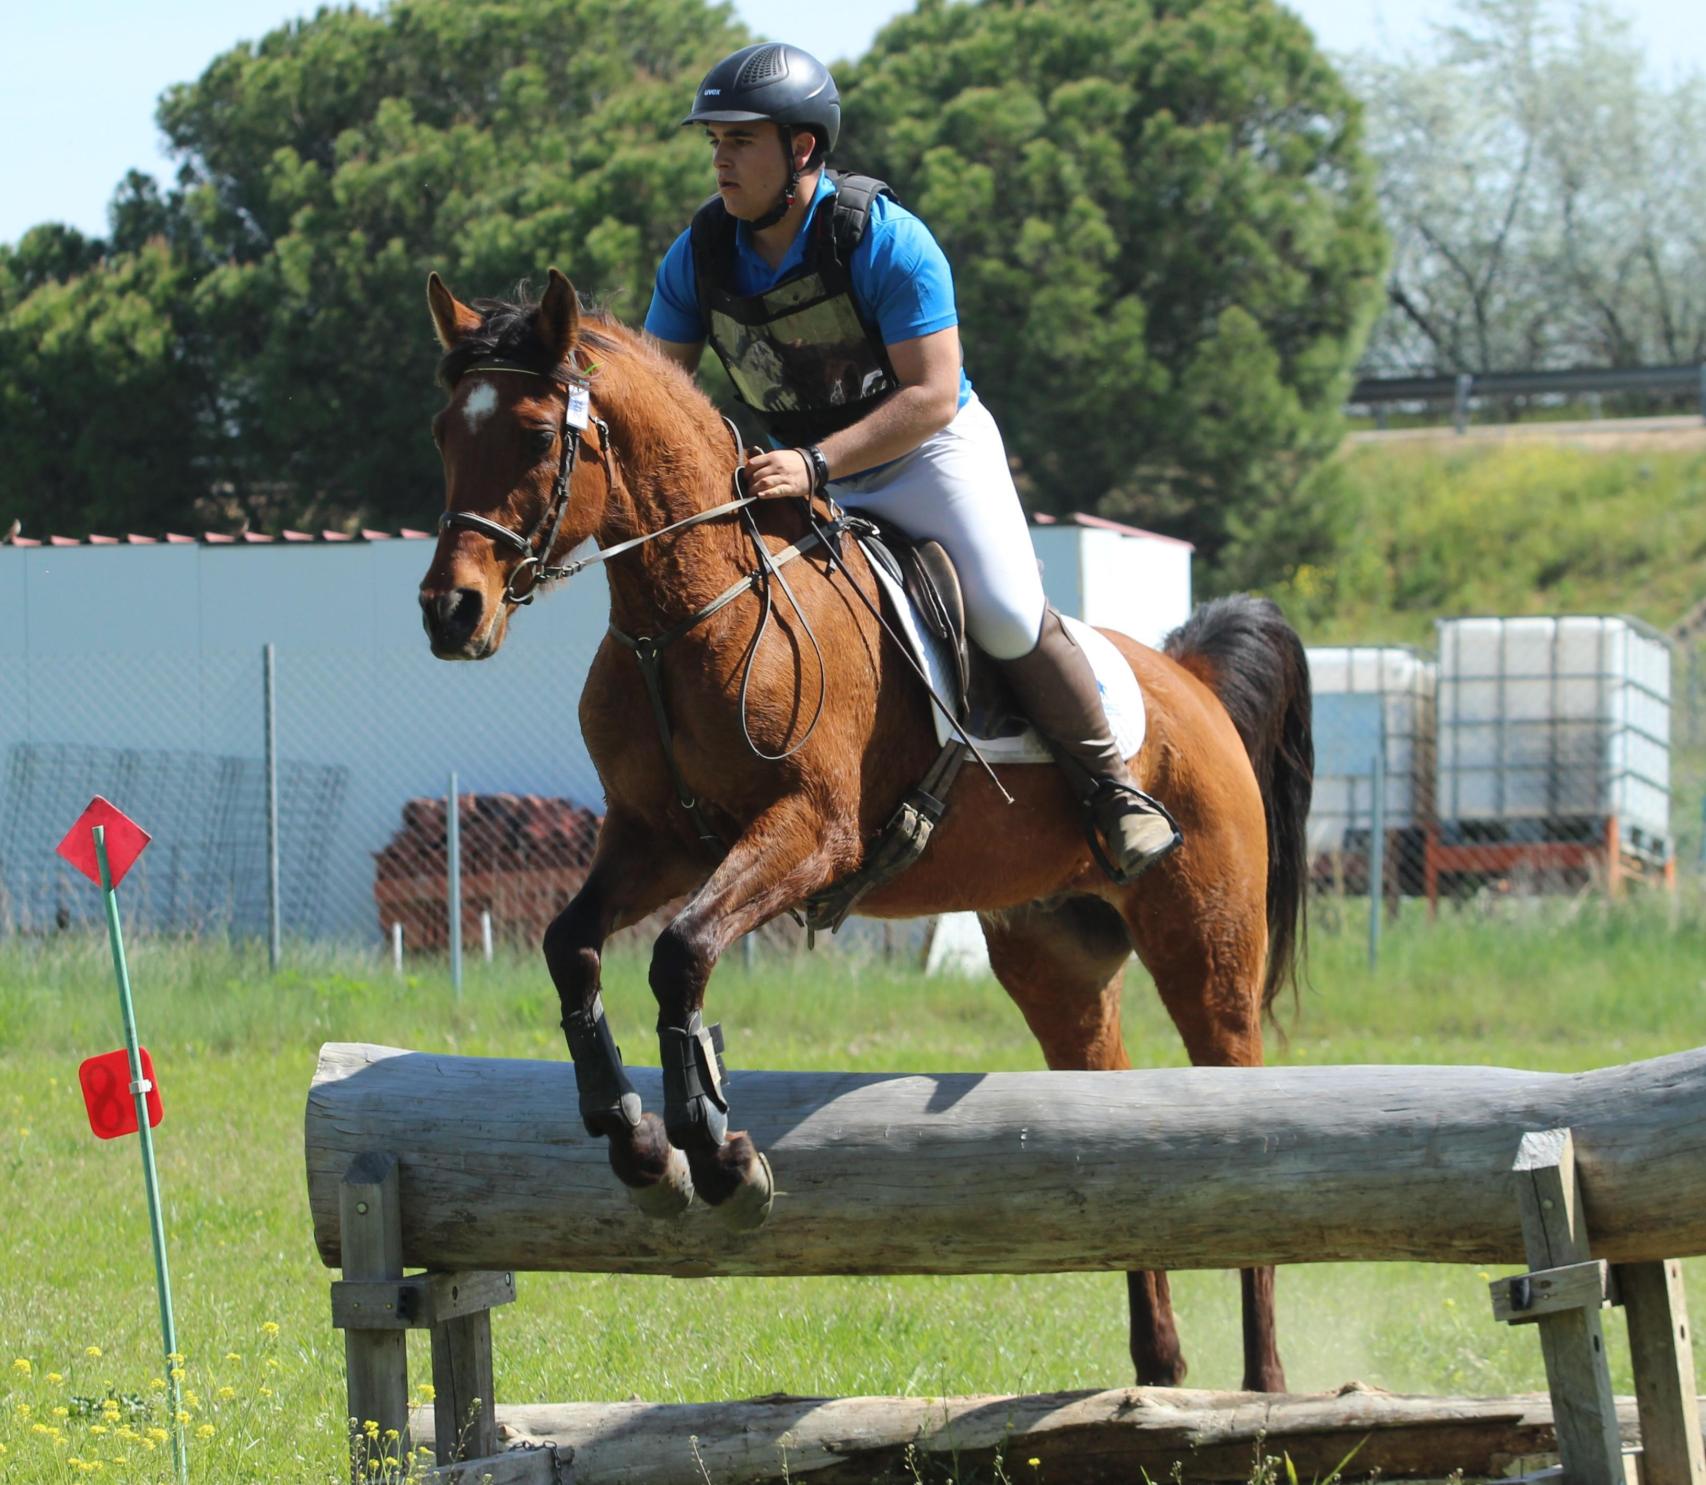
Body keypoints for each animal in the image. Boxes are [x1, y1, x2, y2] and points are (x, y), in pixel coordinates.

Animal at [419, 267, 1310, 1392]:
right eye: (443, 430)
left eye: (537, 435)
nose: (450, 611)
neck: (690, 613)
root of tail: (1187, 678)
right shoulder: (652, 841)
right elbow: (571, 946)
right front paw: (636, 1144)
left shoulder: (811, 833)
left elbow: (681, 955)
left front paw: (719, 1157)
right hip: (1056, 960)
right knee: (1104, 1113)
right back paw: (1158, 1376)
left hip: (1208, 952)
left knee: (1242, 1117)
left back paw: (1265, 1388)